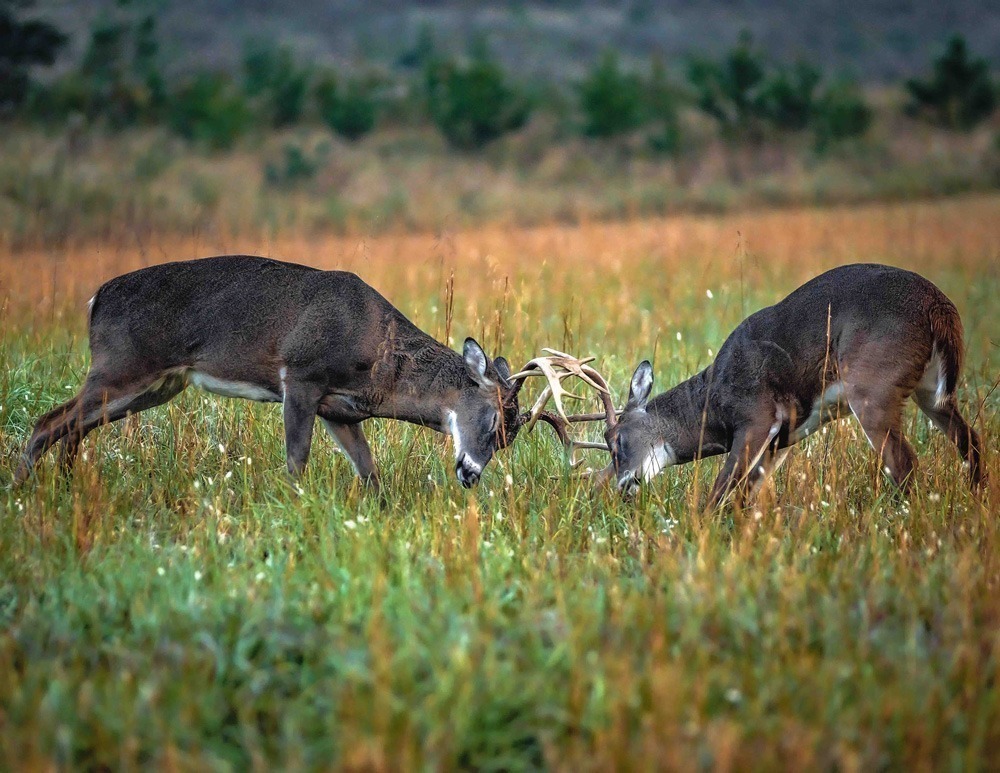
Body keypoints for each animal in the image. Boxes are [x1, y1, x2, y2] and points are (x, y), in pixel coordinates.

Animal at [15, 256, 524, 492]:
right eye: (495, 424)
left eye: (507, 439)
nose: (471, 474)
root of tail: (95, 300)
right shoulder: (299, 376)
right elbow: (297, 461)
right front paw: (295, 509)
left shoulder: (341, 411)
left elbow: (369, 472)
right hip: (120, 365)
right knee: (47, 422)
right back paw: (23, 491)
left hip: (153, 385)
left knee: (75, 427)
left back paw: (64, 487)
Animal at [604, 264, 988, 506]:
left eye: (616, 440)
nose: (621, 484)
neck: (711, 405)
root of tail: (939, 307)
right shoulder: (782, 439)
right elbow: (745, 495)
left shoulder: (757, 417)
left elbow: (719, 492)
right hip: (932, 392)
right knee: (970, 440)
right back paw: (978, 501)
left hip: (873, 388)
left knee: (905, 462)